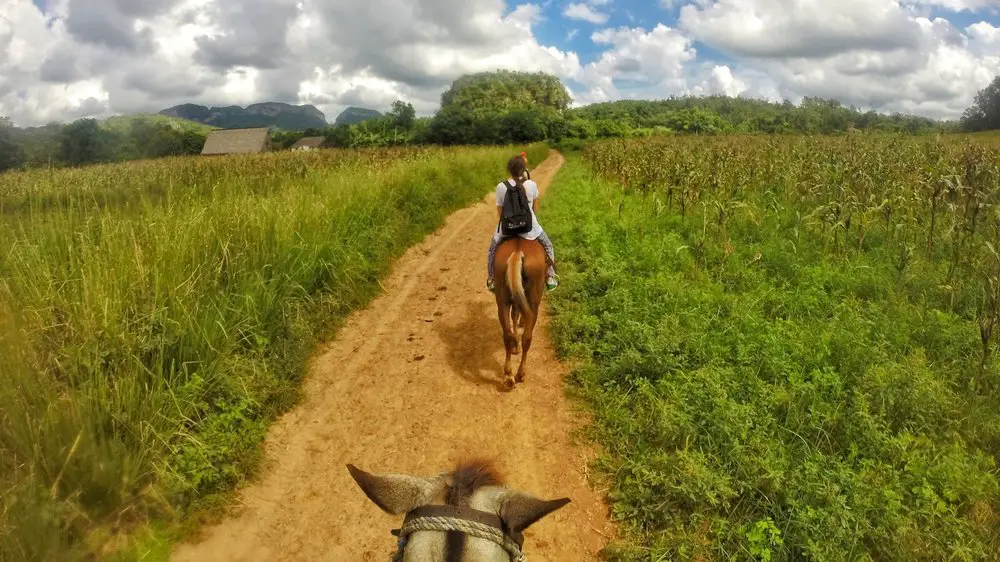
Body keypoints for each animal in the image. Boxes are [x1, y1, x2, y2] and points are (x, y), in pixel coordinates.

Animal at [492, 236, 548, 390]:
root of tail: (517, 252)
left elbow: (514, 316)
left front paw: (515, 347)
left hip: (502, 300)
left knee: (507, 335)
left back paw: (508, 376)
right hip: (534, 302)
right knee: (527, 337)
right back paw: (520, 374)